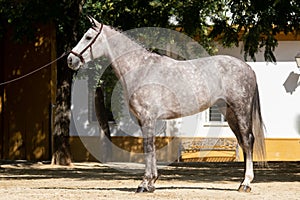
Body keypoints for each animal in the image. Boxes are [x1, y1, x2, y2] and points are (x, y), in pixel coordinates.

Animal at [68, 17, 264, 194]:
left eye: (88, 37)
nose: (70, 60)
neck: (141, 68)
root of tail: (248, 68)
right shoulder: (144, 120)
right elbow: (151, 147)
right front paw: (151, 183)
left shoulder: (147, 118)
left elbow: (147, 147)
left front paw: (144, 183)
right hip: (229, 113)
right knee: (242, 141)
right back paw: (242, 183)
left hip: (240, 110)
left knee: (247, 141)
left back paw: (246, 183)